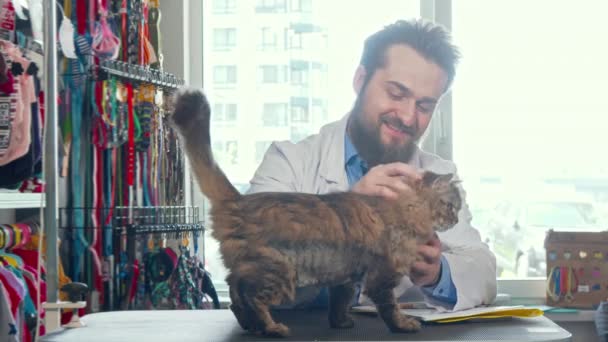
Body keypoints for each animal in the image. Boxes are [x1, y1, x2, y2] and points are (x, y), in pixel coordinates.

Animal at [171, 87, 460, 336]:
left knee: (234, 294)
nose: (457, 219)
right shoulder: (383, 275)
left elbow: (340, 302)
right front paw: (403, 324)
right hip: (278, 271)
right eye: (451, 206)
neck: (404, 208)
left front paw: (341, 322)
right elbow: (390, 307)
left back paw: (251, 325)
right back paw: (271, 328)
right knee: (250, 297)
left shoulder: (347, 276)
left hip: (252, 267)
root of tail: (239, 200)